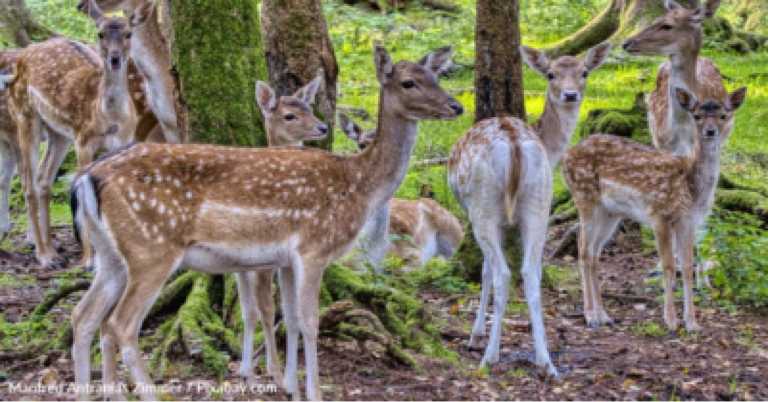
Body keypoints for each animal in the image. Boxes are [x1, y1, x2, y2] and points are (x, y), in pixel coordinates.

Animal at [7, 0, 151, 268]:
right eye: (100, 33)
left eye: (128, 34)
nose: (115, 59)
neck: (110, 118)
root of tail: (23, 54)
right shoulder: (84, 139)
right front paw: (88, 260)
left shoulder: (123, 140)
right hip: (24, 115)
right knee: (29, 183)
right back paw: (43, 255)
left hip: (59, 133)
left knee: (43, 178)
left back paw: (53, 250)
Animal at [447, 42, 612, 373]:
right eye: (551, 74)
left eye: (584, 72)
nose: (571, 95)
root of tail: (513, 146)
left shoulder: (475, 214)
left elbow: (485, 270)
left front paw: (475, 334)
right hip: (539, 204)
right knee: (530, 273)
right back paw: (545, 360)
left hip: (484, 207)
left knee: (503, 273)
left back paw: (489, 356)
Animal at [562, 86, 746, 332]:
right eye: (697, 116)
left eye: (723, 116)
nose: (710, 131)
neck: (691, 187)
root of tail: (565, 157)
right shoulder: (659, 214)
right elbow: (668, 266)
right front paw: (671, 321)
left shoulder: (689, 221)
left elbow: (687, 267)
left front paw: (692, 323)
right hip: (585, 197)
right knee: (583, 250)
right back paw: (591, 316)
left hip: (610, 213)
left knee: (594, 253)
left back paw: (603, 315)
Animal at [623, 0, 726, 287]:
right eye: (656, 18)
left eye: (667, 25)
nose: (626, 42)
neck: (682, 130)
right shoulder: (664, 147)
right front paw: (665, 269)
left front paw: (702, 277)